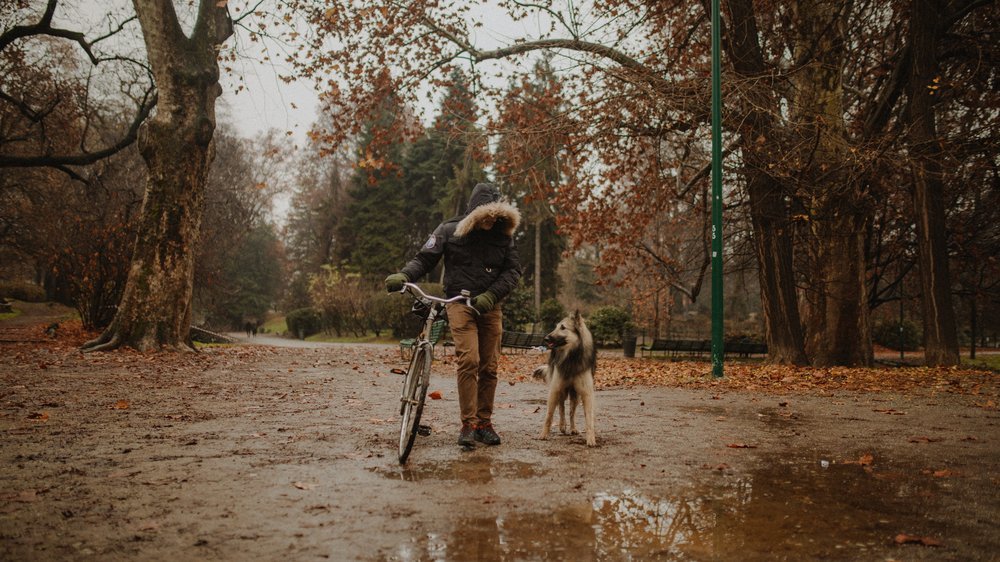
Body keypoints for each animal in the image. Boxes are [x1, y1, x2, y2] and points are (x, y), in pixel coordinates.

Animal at [536, 310, 596, 446]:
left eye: (563, 327)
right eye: (555, 327)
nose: (546, 338)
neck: (571, 357)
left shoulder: (586, 393)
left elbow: (589, 418)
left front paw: (591, 438)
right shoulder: (555, 389)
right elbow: (549, 415)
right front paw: (543, 434)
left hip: (575, 395)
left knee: (571, 412)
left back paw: (572, 428)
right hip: (561, 390)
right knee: (561, 407)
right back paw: (562, 426)